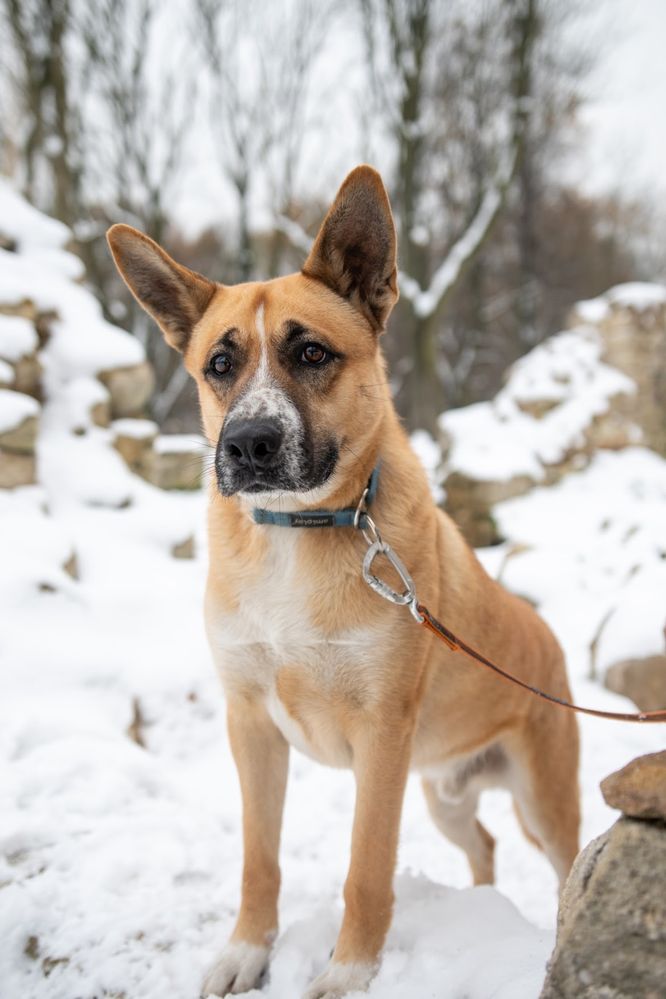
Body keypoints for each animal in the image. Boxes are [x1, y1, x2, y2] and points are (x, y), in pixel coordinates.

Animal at [107, 168, 576, 996]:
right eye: (218, 365)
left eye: (312, 351)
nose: (248, 444)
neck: (297, 532)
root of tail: (545, 632)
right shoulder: (251, 725)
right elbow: (258, 859)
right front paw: (247, 950)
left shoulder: (381, 736)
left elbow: (367, 866)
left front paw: (350, 969)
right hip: (445, 791)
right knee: (484, 844)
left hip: (543, 795)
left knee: (563, 864)